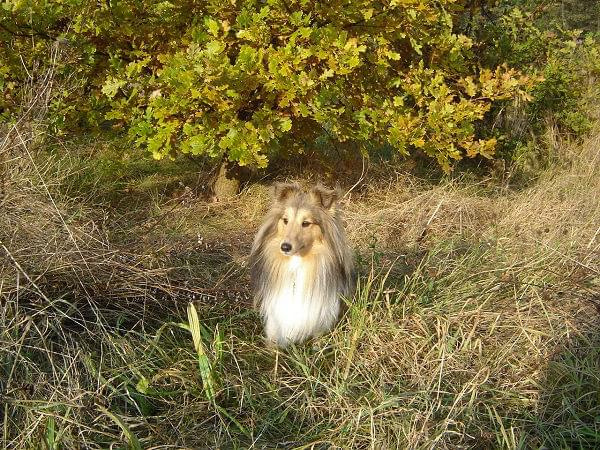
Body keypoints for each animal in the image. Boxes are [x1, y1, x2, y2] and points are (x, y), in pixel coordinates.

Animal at [250, 183, 356, 348]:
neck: (297, 264)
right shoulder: (275, 322)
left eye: (306, 223)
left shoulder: (321, 320)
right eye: (285, 220)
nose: (285, 247)